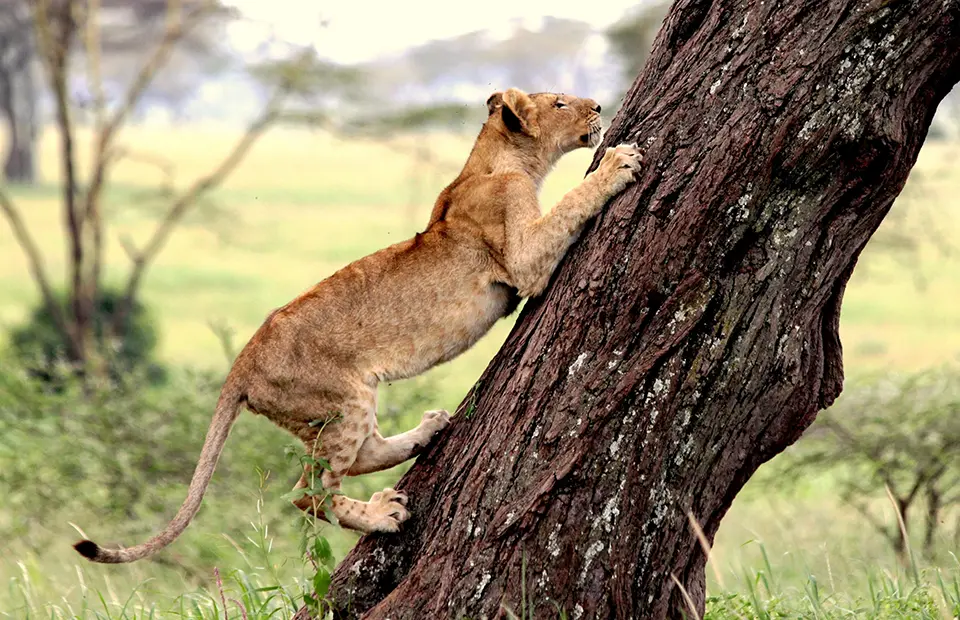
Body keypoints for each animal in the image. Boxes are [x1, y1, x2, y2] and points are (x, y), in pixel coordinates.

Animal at [74, 88, 643, 563]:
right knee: (307, 494)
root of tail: (242, 363)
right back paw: (382, 514)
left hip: (339, 406)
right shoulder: (522, 260)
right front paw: (619, 162)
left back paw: (426, 432)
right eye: (561, 103)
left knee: (362, 455)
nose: (599, 106)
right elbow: (568, 207)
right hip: (340, 399)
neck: (496, 160)